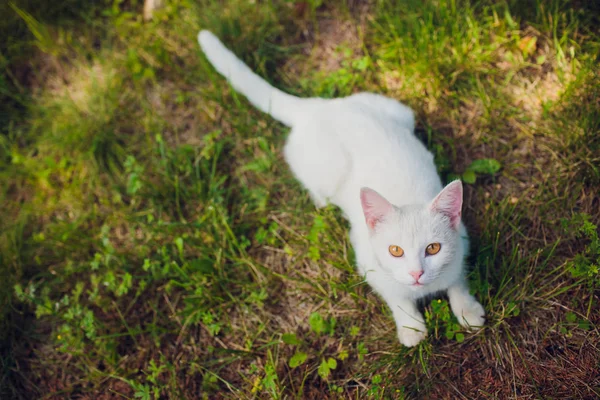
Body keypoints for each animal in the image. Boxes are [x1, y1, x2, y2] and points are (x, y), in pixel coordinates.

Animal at [199, 31, 486, 346]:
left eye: (433, 248)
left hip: (401, 112)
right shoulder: (369, 264)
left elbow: (457, 280)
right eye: (395, 250)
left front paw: (467, 310)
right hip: (326, 170)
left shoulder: (461, 243)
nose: (416, 273)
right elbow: (396, 297)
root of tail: (320, 107)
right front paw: (411, 328)